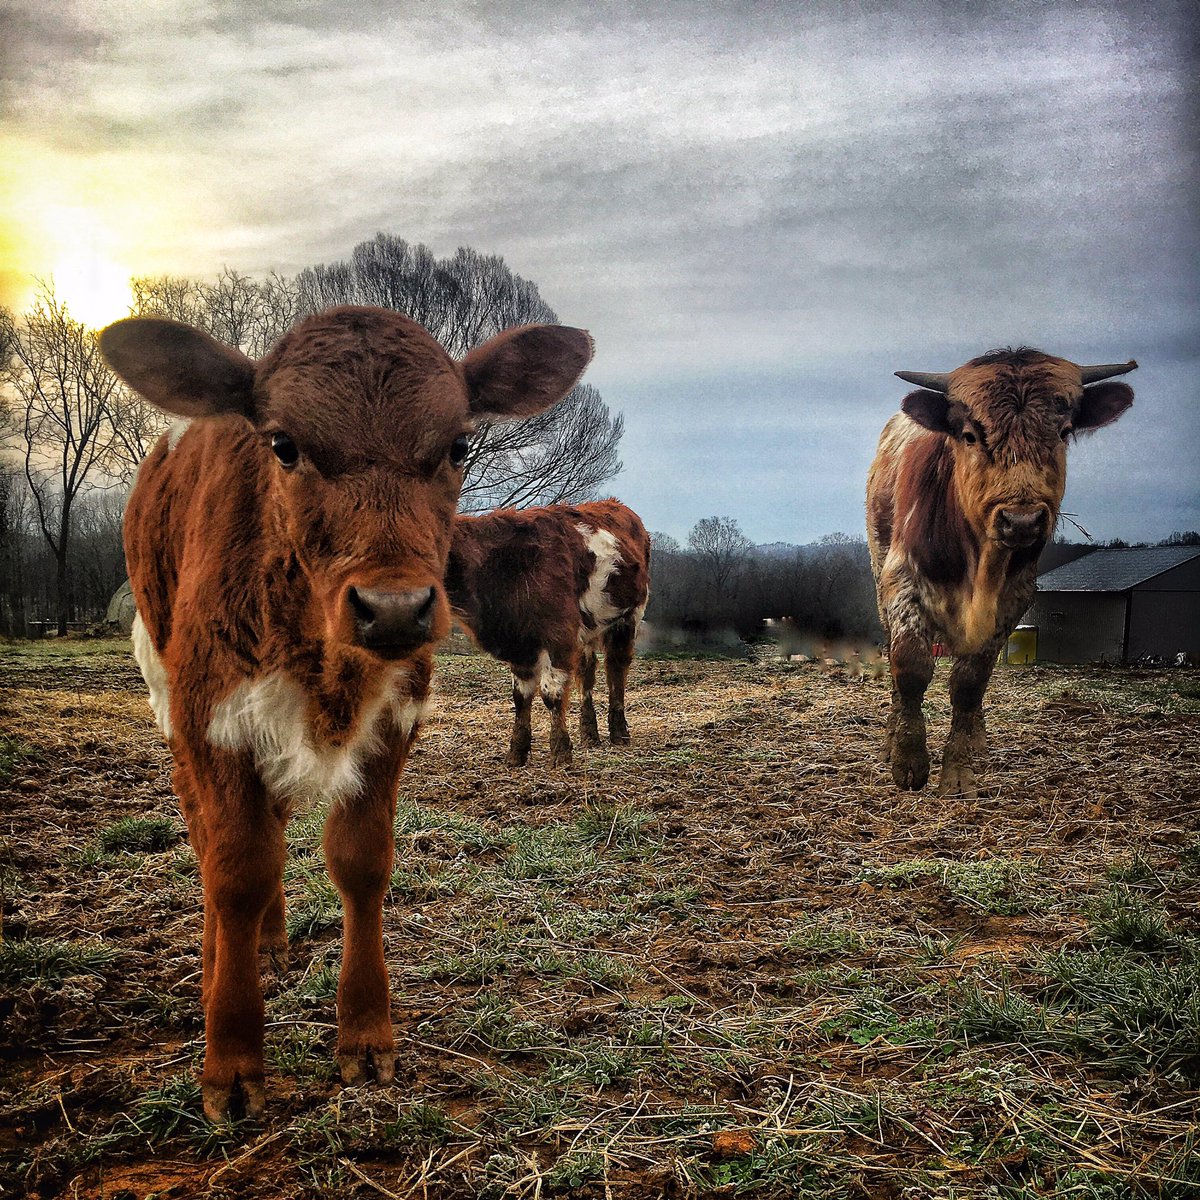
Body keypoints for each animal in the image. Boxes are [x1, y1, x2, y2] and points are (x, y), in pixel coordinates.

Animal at [102, 304, 590, 1118]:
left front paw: (365, 1034)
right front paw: (231, 1056)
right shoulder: (212, 715)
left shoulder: (395, 715)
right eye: (284, 444)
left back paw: (268, 944)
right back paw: (221, 954)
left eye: (458, 444)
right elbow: (234, 868)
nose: (393, 608)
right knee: (210, 839)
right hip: (167, 692)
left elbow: (360, 863)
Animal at [444, 499, 648, 768]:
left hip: (629, 617)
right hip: (588, 630)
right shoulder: (521, 643)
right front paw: (517, 752)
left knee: (616, 668)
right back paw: (589, 734)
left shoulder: (558, 635)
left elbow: (551, 693)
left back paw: (619, 732)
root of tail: (615, 504)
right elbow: (520, 696)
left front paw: (560, 751)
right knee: (587, 672)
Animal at [864, 348, 1132, 796]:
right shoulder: (902, 580)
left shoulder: (1014, 597)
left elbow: (970, 683)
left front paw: (958, 770)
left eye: (1063, 432)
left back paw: (978, 742)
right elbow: (911, 667)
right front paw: (908, 759)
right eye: (970, 435)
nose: (1021, 520)